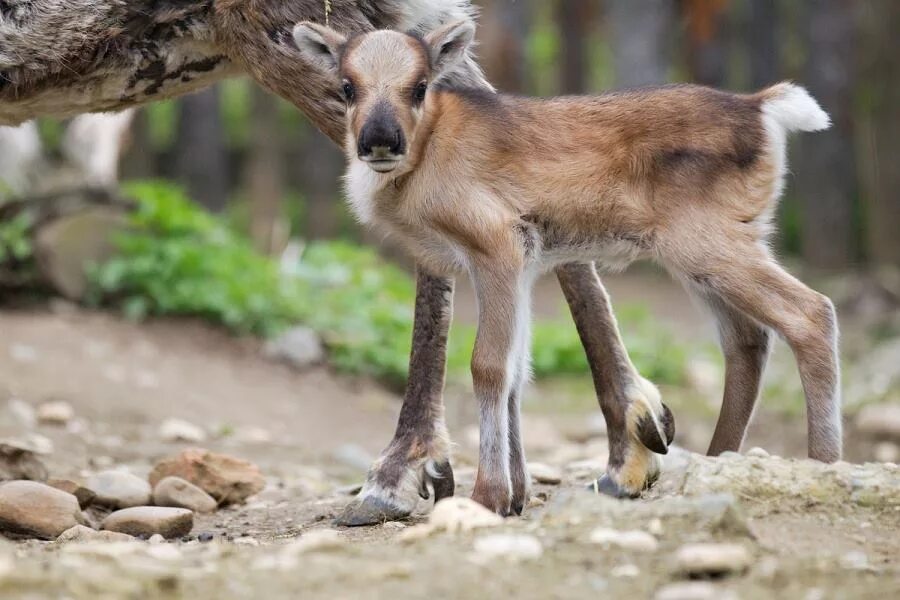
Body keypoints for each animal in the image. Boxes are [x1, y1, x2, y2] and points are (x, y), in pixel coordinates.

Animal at [292, 19, 840, 516]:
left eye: (420, 85)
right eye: (347, 85)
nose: (380, 140)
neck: (424, 158)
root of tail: (762, 107)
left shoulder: (496, 246)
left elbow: (488, 366)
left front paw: (488, 496)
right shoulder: (524, 263)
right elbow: (517, 371)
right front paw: (515, 496)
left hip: (707, 244)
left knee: (810, 312)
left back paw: (824, 467)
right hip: (714, 252)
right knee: (749, 339)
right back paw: (717, 462)